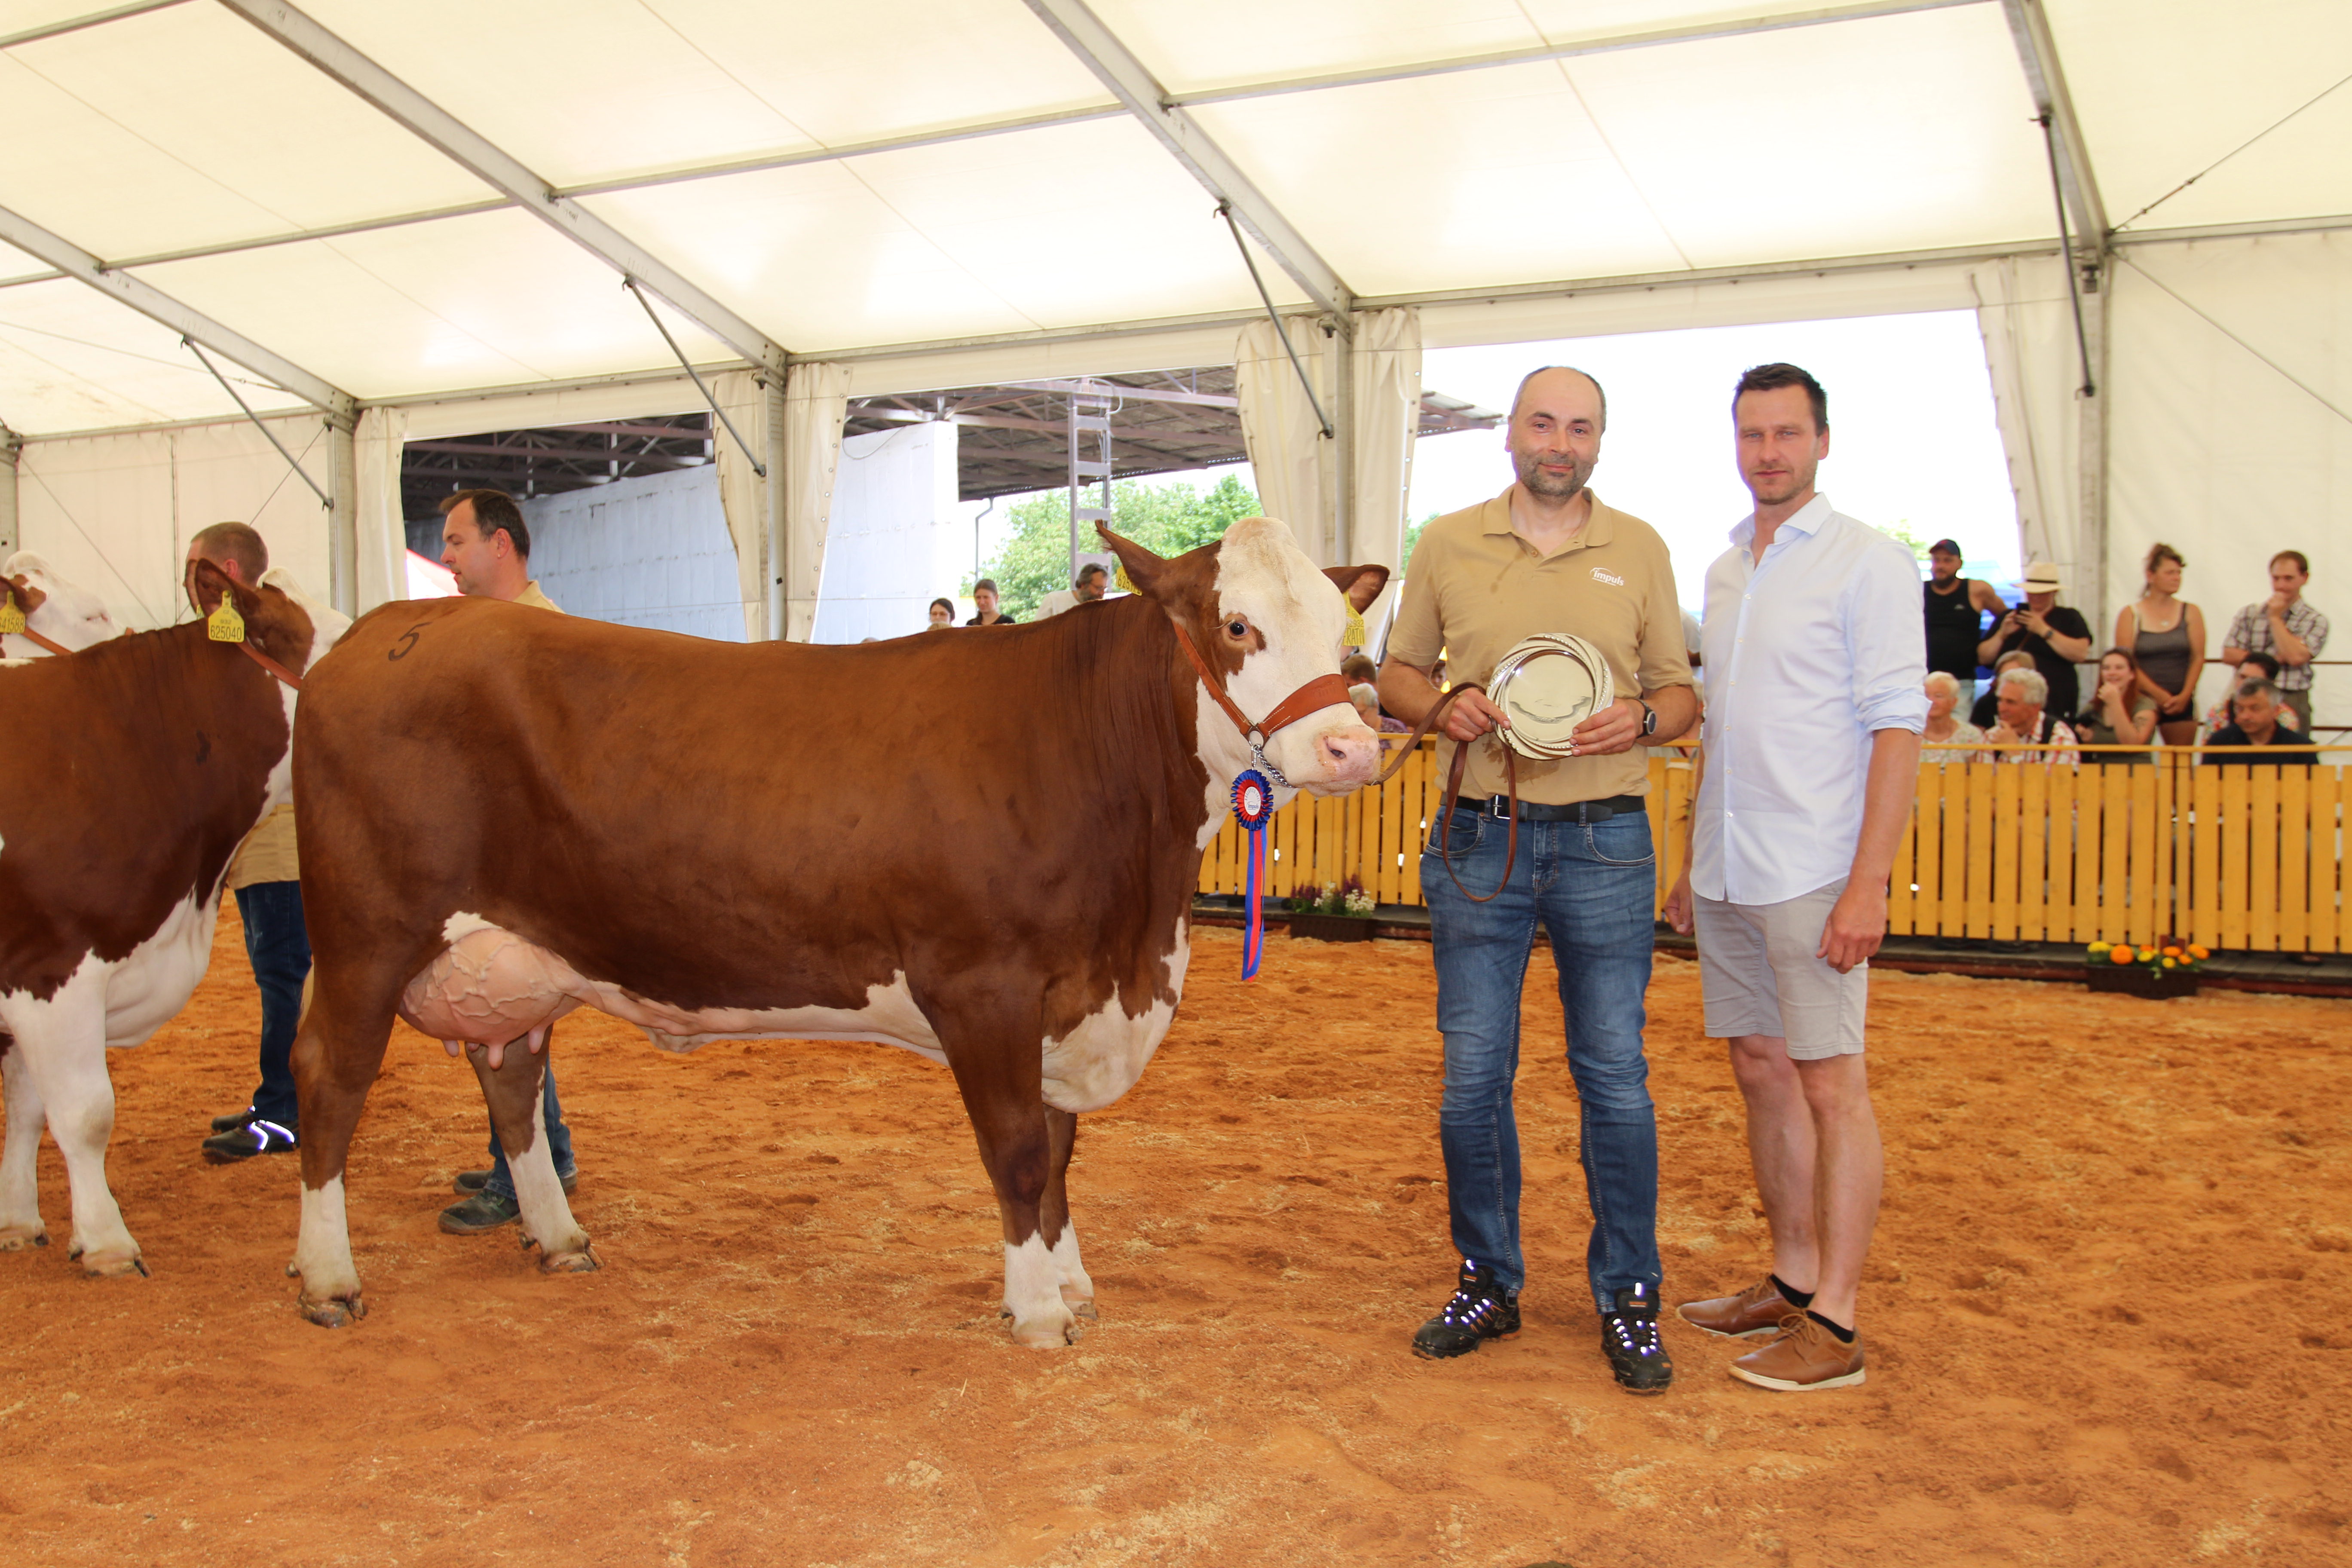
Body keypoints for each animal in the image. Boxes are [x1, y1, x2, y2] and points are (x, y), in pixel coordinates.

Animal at [283, 518, 1388, 1345]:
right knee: (330, 1082)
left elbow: (1063, 1153)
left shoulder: (1067, 998)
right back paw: (329, 1277)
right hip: (364, 933)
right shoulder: (983, 984)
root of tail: (381, 628)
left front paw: (1071, 1282)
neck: (1138, 918)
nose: (1352, 746)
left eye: (1345, 637)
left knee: (510, 1078)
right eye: (1237, 624)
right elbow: (1021, 1155)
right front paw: (1036, 1309)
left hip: (519, 960)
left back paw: (558, 1238)